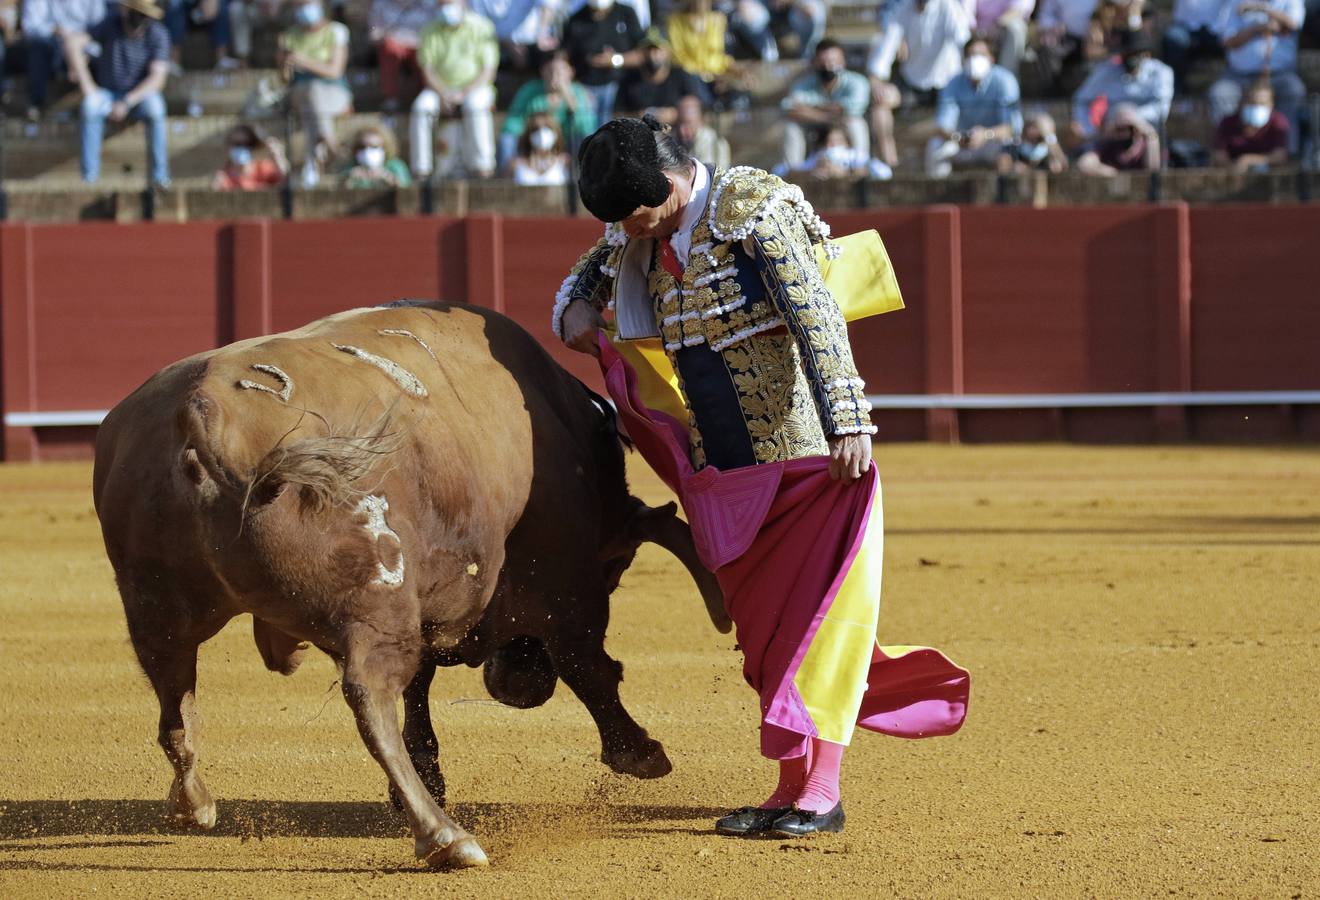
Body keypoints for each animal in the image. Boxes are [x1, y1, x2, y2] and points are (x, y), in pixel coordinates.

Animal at [90, 303, 733, 870]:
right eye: (617, 569)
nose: (519, 687)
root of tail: (201, 415)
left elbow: (421, 694)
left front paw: (424, 779)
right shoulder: (565, 582)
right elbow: (589, 665)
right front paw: (640, 752)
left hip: (154, 609)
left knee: (175, 698)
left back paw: (194, 804)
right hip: (375, 603)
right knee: (369, 695)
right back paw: (445, 837)